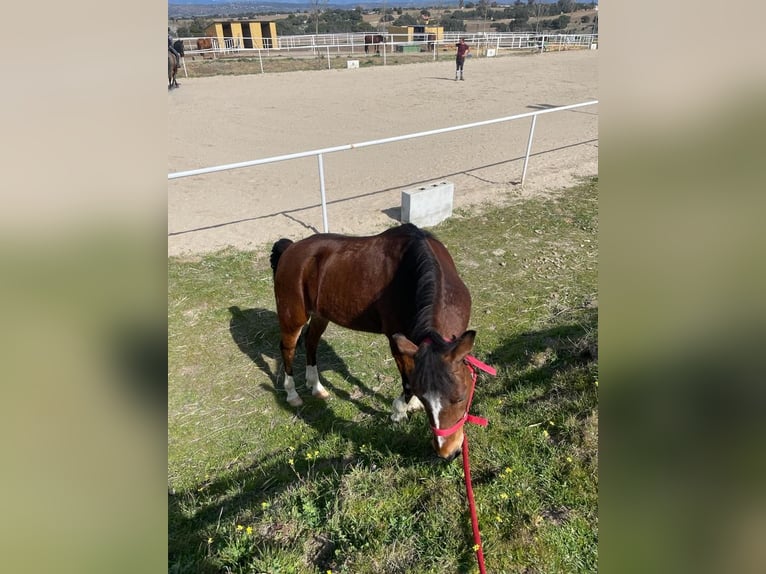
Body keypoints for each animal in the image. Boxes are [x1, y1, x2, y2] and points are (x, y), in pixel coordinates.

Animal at [272, 223, 480, 462]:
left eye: (461, 398)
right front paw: (400, 411)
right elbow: (407, 380)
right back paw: (292, 394)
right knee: (287, 348)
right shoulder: (396, 341)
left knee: (311, 342)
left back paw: (316, 386)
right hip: (293, 317)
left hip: (320, 315)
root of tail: (290, 249)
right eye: (428, 402)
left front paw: (410, 405)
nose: (449, 452)